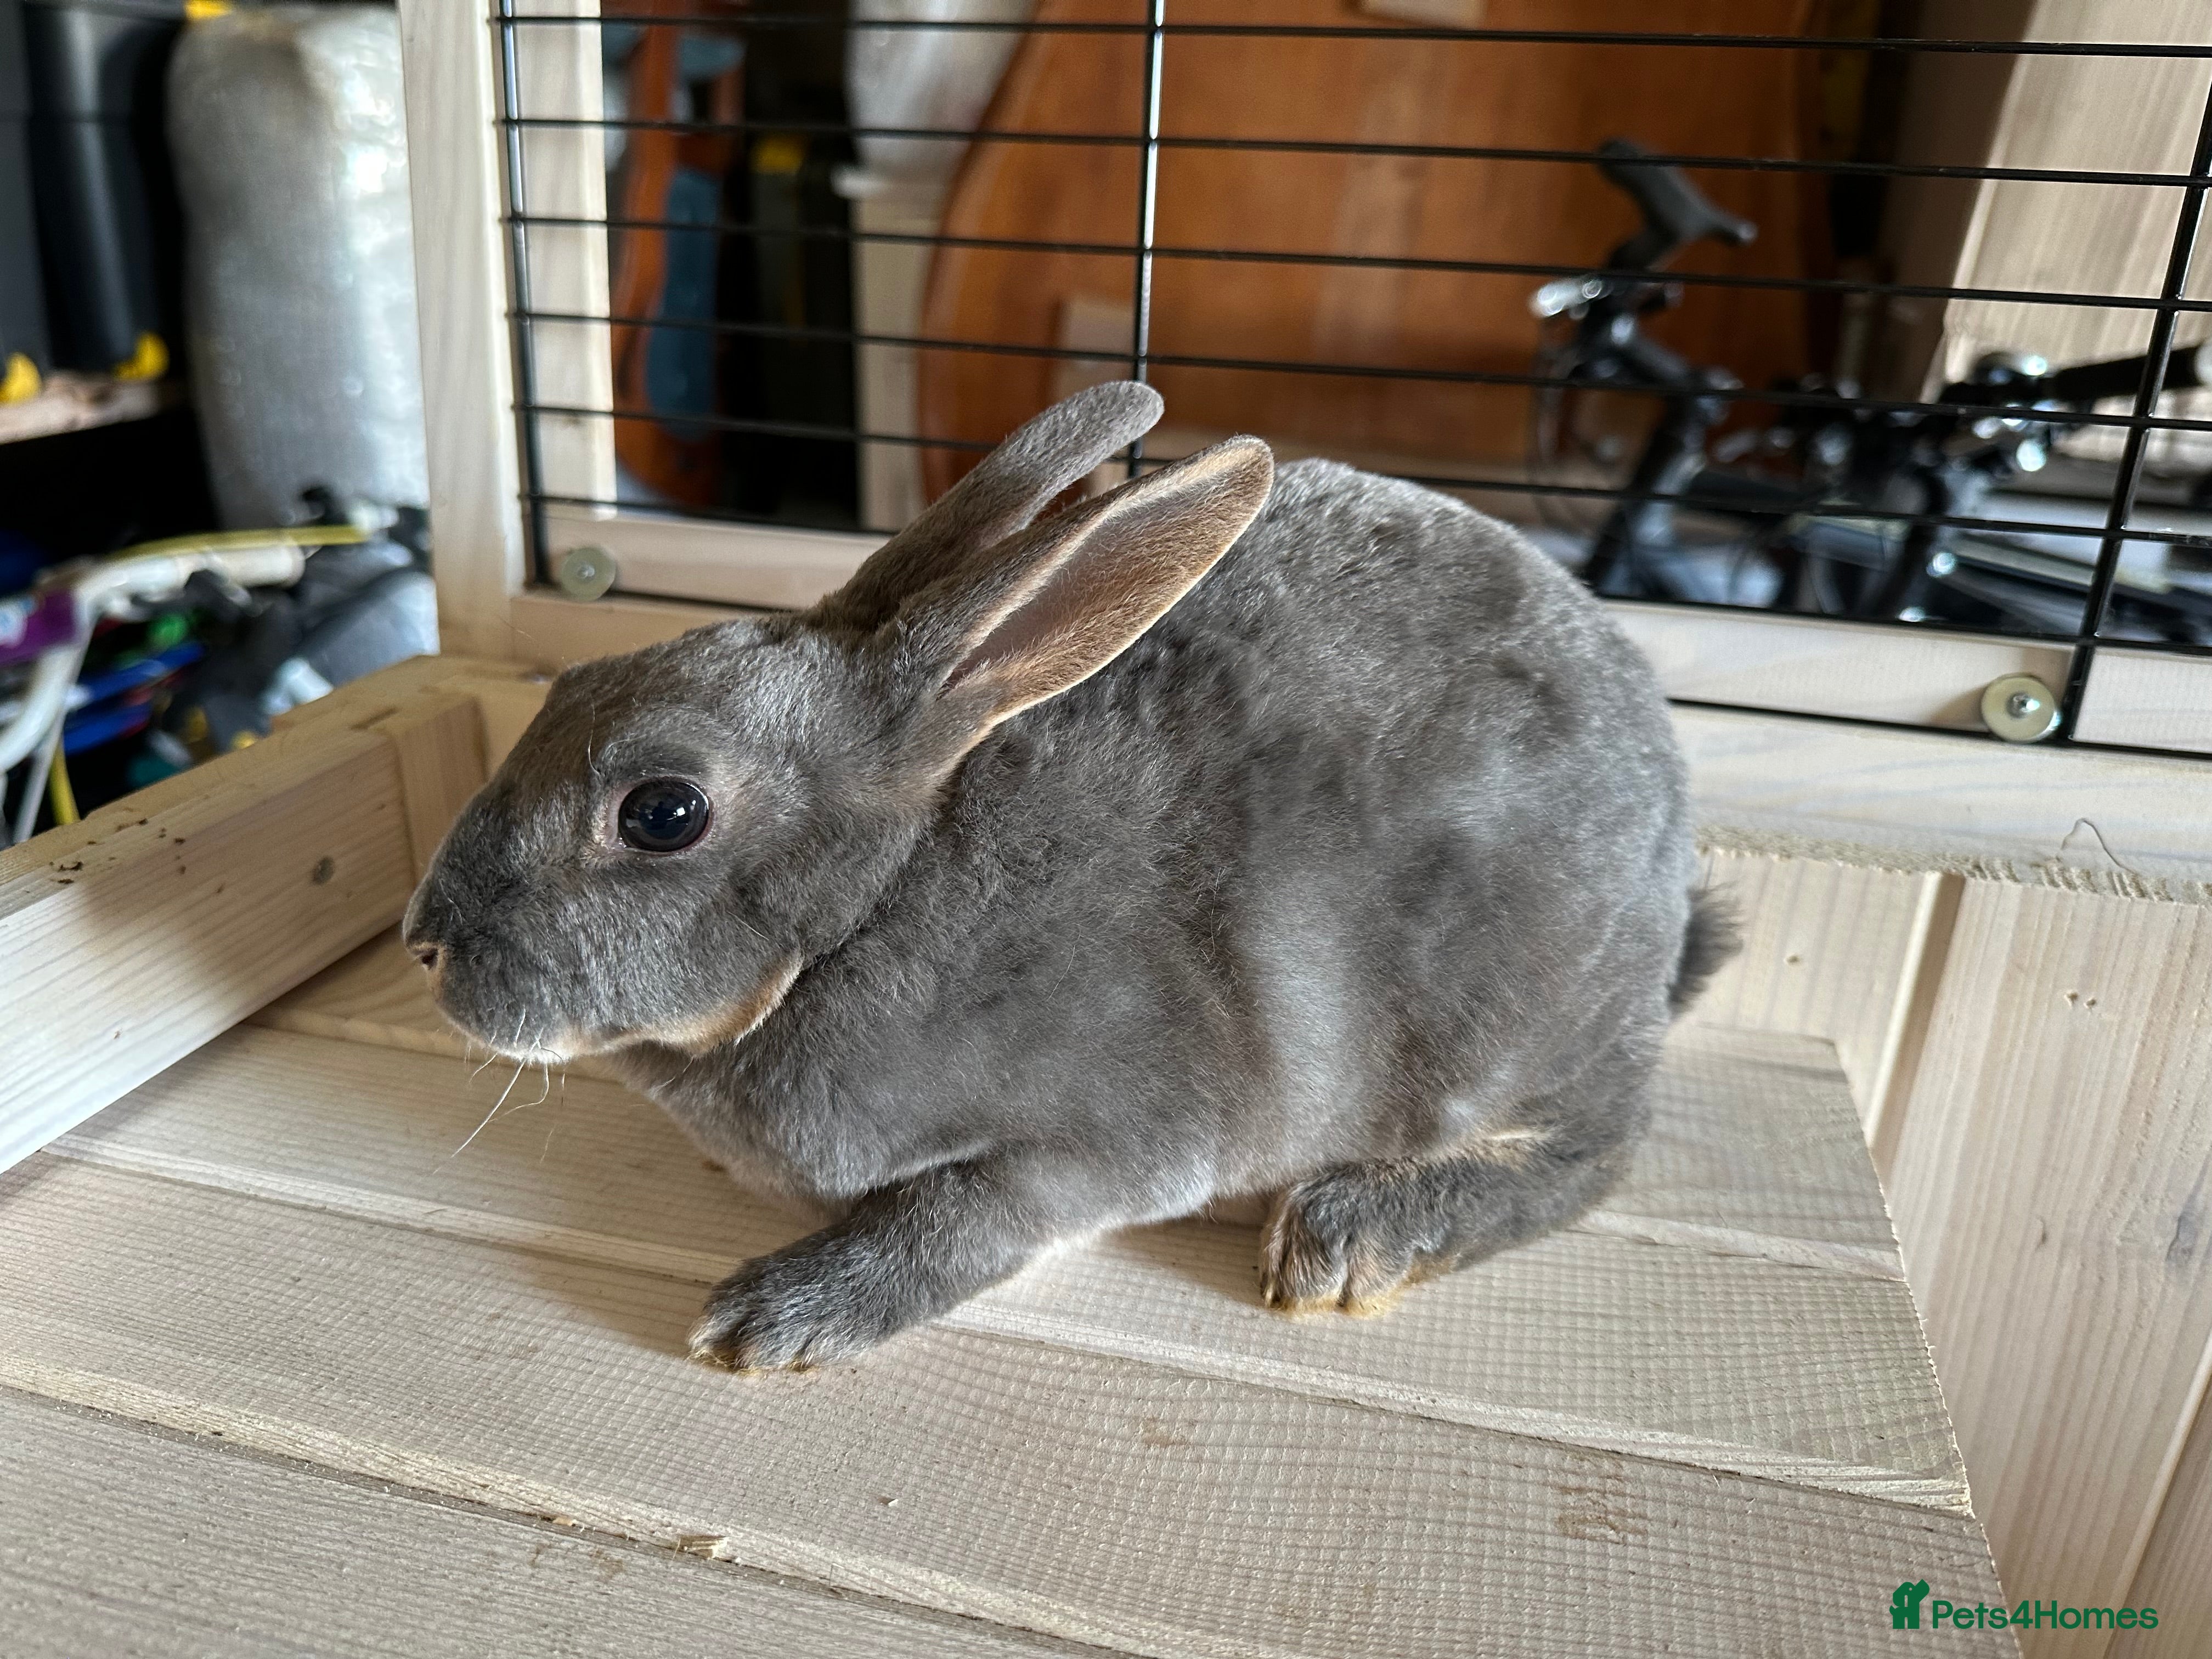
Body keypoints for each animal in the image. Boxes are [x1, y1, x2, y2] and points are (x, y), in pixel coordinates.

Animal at [402, 380, 1735, 1372]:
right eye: (567, 690)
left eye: (662, 811)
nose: (426, 941)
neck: (869, 912)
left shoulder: (1101, 1144)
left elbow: (958, 1219)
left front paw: (775, 1317)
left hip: (1509, 1027)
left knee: (1590, 1152)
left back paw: (1355, 1236)